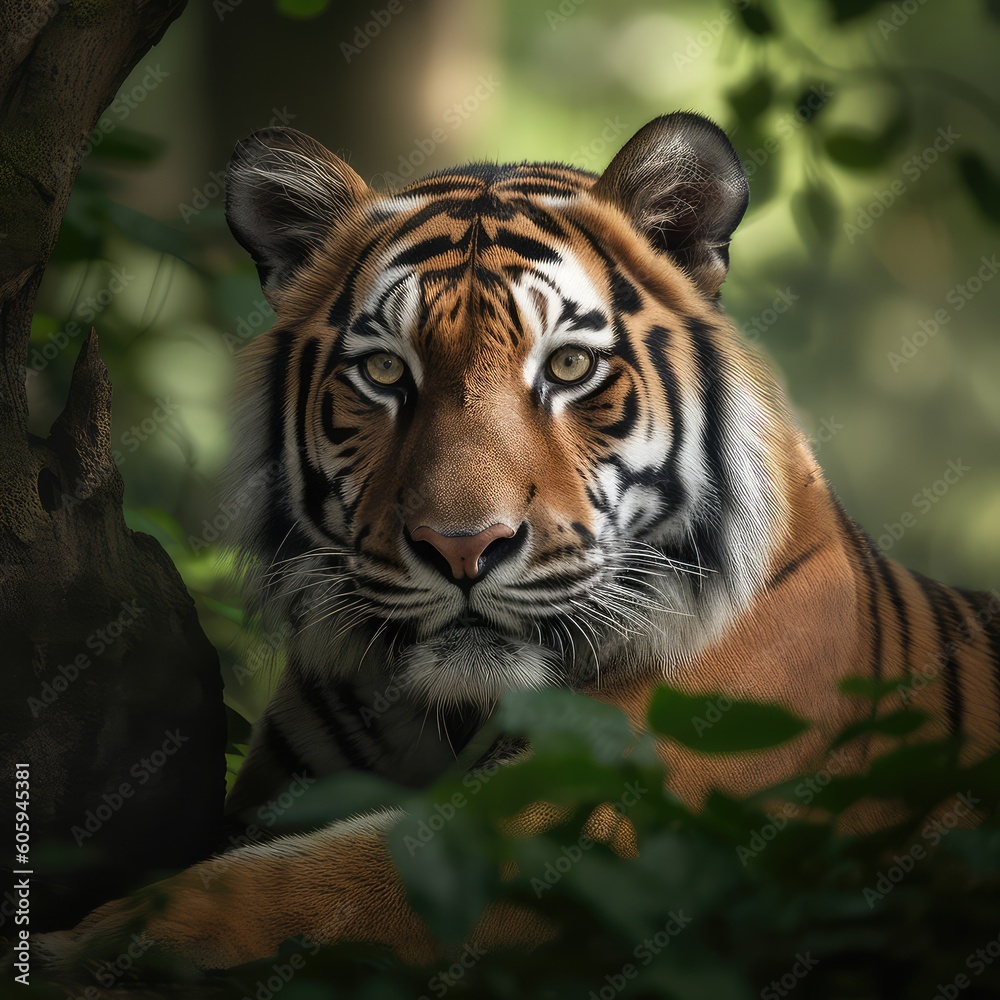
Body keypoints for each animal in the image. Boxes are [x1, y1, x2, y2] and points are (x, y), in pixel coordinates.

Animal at [42, 111, 999, 975]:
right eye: (384, 371)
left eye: (569, 368)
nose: (462, 548)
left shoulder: (614, 809)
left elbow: (332, 882)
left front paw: (104, 942)